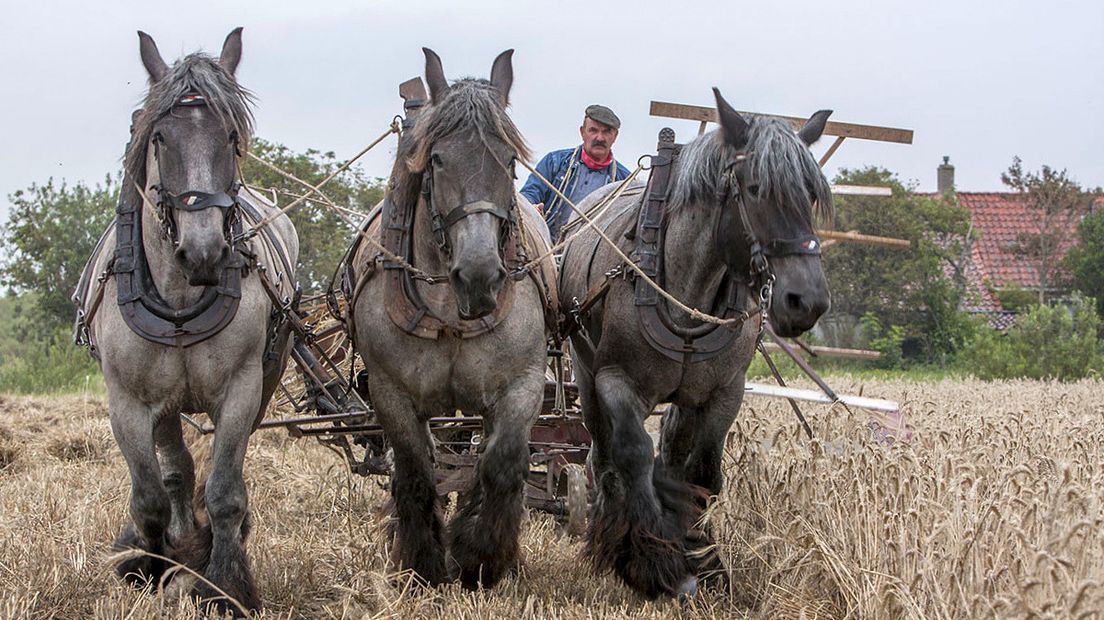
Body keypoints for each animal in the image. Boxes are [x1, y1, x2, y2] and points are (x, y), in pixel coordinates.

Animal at [77, 27, 298, 608]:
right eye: (158, 137)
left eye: (231, 136)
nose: (203, 252)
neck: (180, 298)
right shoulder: (128, 403)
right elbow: (151, 495)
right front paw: (149, 567)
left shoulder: (242, 388)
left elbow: (224, 490)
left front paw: (225, 582)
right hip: (166, 405)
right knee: (175, 470)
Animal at [346, 49, 549, 586]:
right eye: (437, 159)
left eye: (509, 160)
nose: (479, 277)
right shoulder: (390, 392)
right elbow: (416, 472)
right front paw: (423, 561)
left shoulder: (522, 384)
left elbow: (500, 464)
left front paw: (482, 557)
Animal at [556, 89, 830, 595]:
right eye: (755, 188)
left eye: (811, 193)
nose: (806, 301)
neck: (686, 287)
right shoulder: (615, 380)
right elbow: (633, 457)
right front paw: (654, 561)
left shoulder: (723, 392)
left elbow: (700, 472)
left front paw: (705, 559)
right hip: (584, 375)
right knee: (603, 456)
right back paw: (609, 542)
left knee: (671, 457)